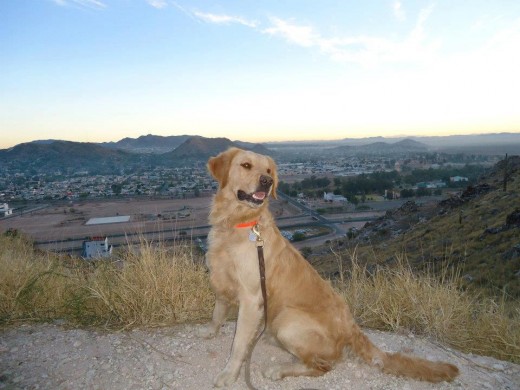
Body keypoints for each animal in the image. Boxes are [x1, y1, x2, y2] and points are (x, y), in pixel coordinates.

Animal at [200, 147, 460, 386]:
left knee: (323, 366)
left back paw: (280, 369)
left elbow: (238, 344)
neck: (239, 222)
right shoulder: (220, 279)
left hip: (287, 321)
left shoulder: (252, 298)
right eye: (246, 165)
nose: (267, 181)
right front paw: (210, 331)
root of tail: (351, 327)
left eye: (268, 171)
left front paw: (229, 374)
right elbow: (217, 312)